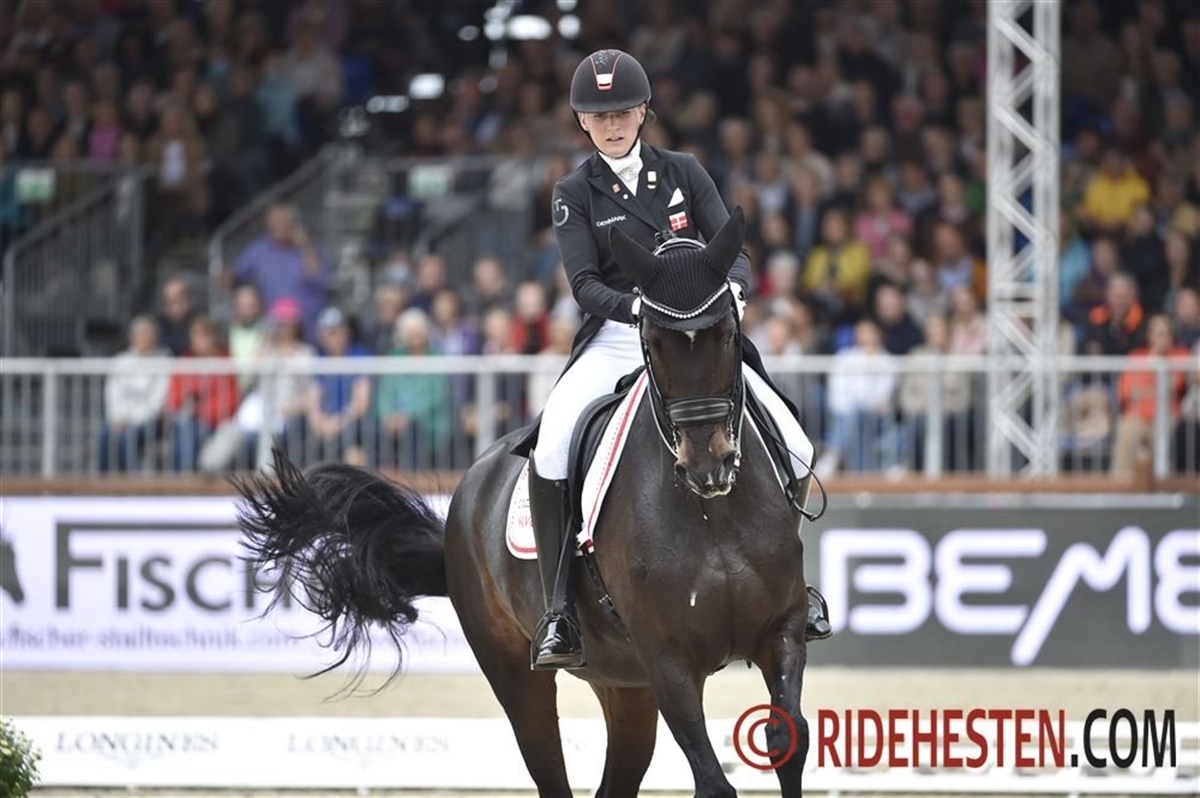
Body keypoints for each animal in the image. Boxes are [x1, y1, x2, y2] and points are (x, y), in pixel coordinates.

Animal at [235, 207, 819, 797]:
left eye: (727, 334)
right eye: (652, 341)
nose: (708, 465)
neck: (712, 515)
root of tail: (472, 484)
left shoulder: (782, 631)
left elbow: (787, 739)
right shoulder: (668, 659)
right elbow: (714, 782)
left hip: (623, 682)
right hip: (522, 676)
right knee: (546, 759)